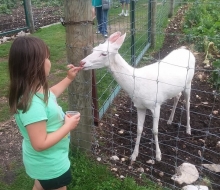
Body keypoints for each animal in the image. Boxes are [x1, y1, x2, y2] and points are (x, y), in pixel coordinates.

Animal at [80, 31, 195, 162]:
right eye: (94, 49)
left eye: (104, 53)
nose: (82, 62)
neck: (137, 84)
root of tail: (188, 51)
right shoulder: (139, 106)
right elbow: (139, 129)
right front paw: (134, 155)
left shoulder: (156, 104)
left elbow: (155, 131)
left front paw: (158, 156)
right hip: (178, 87)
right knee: (177, 96)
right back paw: (170, 120)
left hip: (189, 83)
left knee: (188, 103)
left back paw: (188, 129)